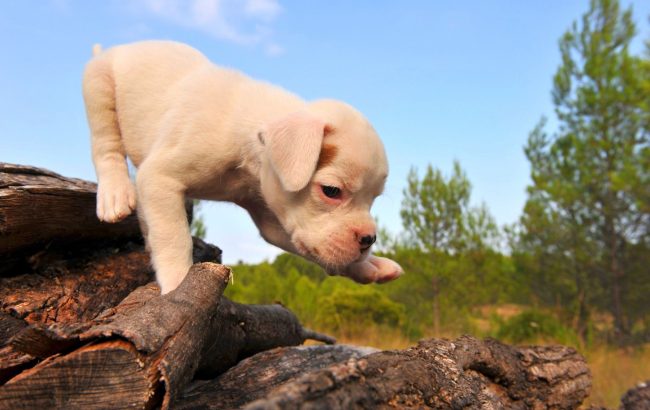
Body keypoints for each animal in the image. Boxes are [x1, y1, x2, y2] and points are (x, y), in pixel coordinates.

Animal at [83, 40, 402, 294]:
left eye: (373, 199)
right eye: (332, 191)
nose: (369, 239)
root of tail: (118, 48)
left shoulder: (274, 221)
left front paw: (369, 266)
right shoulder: (160, 177)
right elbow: (175, 237)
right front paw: (178, 283)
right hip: (99, 87)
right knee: (106, 145)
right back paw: (115, 194)